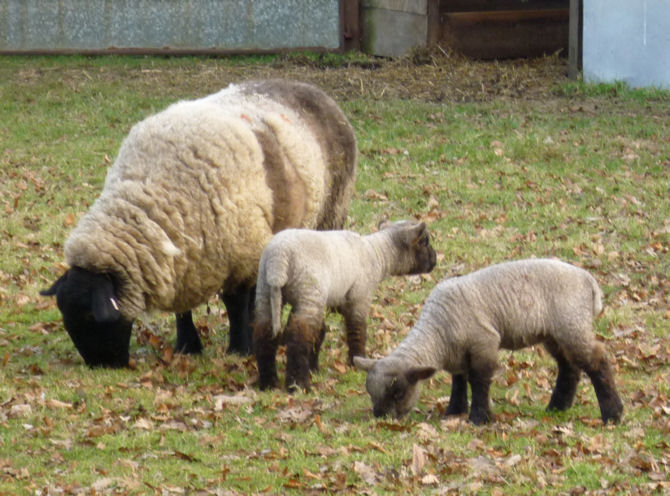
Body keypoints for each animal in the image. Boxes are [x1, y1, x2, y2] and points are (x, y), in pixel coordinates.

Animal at [40, 79, 357, 368]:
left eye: (90, 315)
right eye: (65, 317)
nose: (102, 367)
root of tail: (314, 89)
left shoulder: (241, 253)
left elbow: (235, 303)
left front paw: (239, 348)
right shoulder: (184, 261)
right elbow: (183, 309)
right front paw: (187, 346)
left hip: (329, 213)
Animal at [253, 220, 437, 392]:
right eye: (424, 241)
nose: (435, 260)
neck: (377, 255)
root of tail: (278, 258)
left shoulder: (326, 301)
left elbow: (319, 333)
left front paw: (314, 368)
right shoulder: (359, 298)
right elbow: (357, 331)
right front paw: (357, 362)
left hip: (265, 290)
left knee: (264, 332)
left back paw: (268, 382)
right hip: (309, 293)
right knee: (298, 340)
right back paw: (299, 386)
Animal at [354, 259, 624, 425]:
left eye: (398, 392)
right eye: (370, 392)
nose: (382, 418)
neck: (438, 331)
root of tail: (589, 281)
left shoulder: (484, 344)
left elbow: (479, 381)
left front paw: (479, 418)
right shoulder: (459, 354)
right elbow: (459, 381)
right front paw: (454, 411)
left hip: (572, 324)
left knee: (597, 361)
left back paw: (613, 414)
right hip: (555, 334)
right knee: (569, 367)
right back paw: (557, 407)